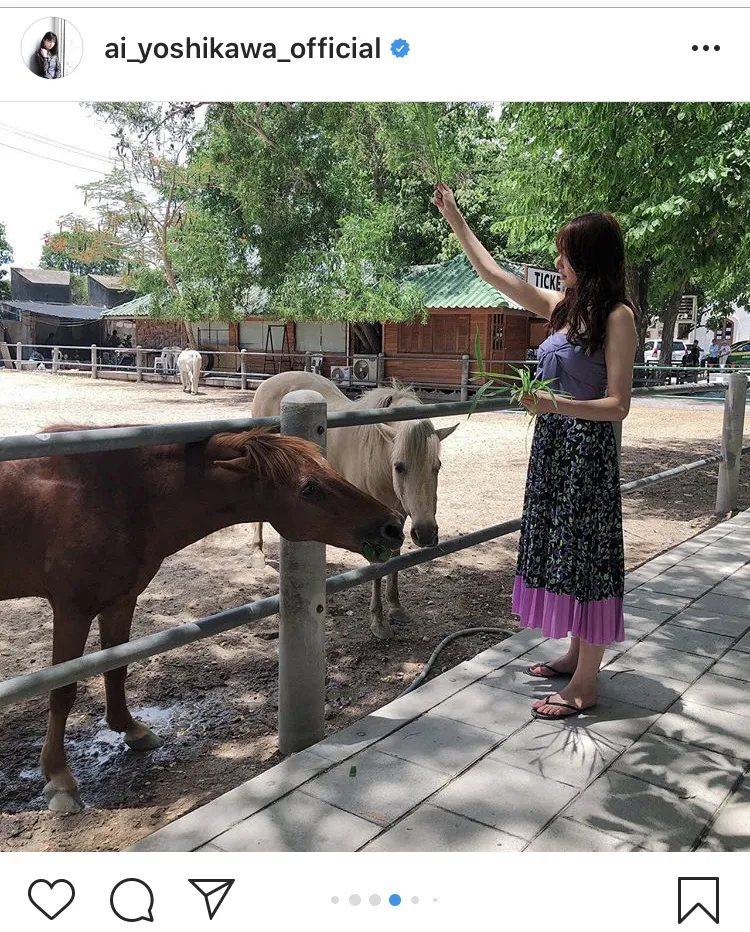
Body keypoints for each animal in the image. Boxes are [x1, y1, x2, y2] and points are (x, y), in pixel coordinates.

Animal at [0, 426, 406, 812]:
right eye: (309, 488)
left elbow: (115, 669)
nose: (393, 526)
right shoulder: (72, 608)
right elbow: (63, 689)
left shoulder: (120, 601)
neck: (113, 495)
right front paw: (59, 777)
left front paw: (131, 729)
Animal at [251, 372, 458, 640]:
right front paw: (378, 622)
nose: (425, 534)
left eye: (437, 466)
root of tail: (269, 382)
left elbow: (395, 559)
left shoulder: (397, 518)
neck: (378, 455)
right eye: (399, 466)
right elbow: (377, 567)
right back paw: (257, 555)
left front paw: (396, 606)